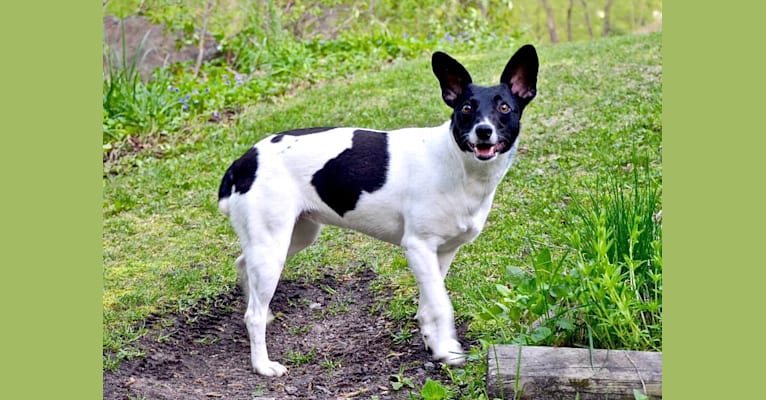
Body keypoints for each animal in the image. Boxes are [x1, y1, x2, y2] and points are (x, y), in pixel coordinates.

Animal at [218, 45, 540, 376]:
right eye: (465, 109)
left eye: (505, 108)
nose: (483, 131)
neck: (456, 163)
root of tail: (243, 161)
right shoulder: (418, 246)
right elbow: (441, 304)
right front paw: (447, 348)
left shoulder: (443, 252)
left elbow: (430, 302)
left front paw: (435, 342)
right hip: (273, 247)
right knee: (253, 314)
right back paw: (262, 364)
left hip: (295, 235)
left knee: (243, 265)